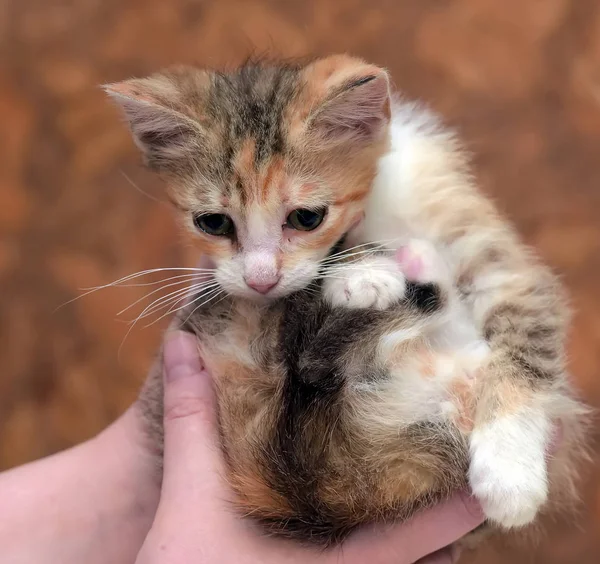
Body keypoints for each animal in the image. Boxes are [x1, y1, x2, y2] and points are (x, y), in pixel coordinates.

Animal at [105, 55, 588, 544]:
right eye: (213, 223)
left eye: (306, 217)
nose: (260, 281)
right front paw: (362, 272)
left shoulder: (501, 265)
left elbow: (526, 348)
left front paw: (510, 472)